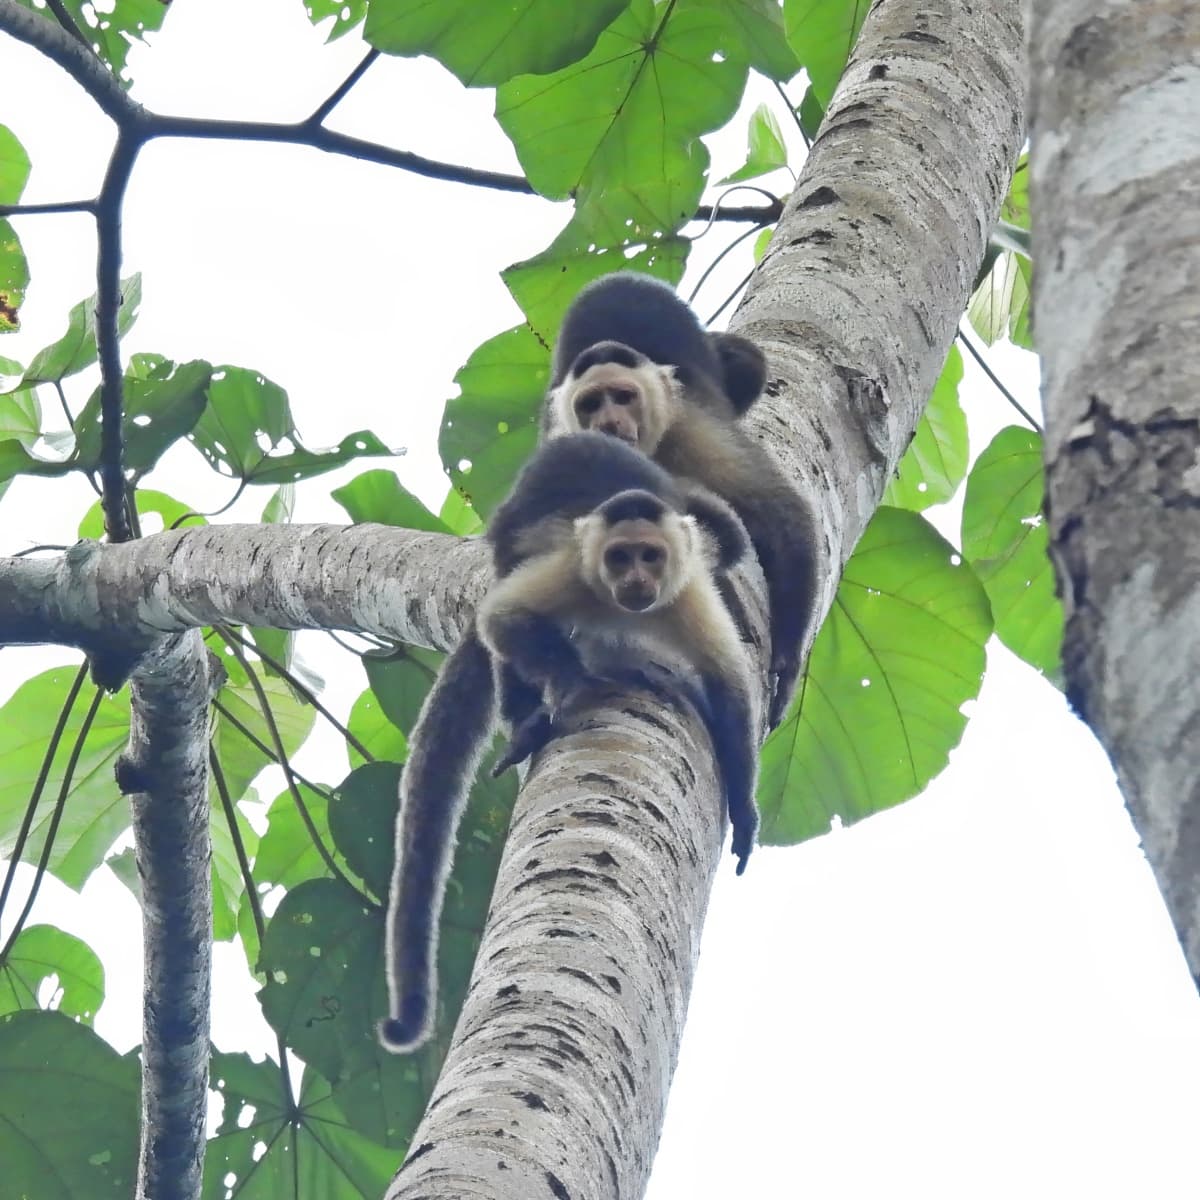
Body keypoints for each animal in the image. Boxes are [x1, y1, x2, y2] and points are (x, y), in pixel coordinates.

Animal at [380, 432, 758, 1053]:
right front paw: (571, 680)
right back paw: (526, 716)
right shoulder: (572, 571)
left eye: (650, 557)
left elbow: (729, 688)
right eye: (620, 558)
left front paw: (747, 812)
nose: (636, 582)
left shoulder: (688, 593)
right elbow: (504, 620)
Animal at [541, 271, 820, 729]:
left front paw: (787, 661)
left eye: (623, 397)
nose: (609, 422)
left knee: (747, 362)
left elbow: (780, 510)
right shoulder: (567, 443)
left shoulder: (690, 430)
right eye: (591, 404)